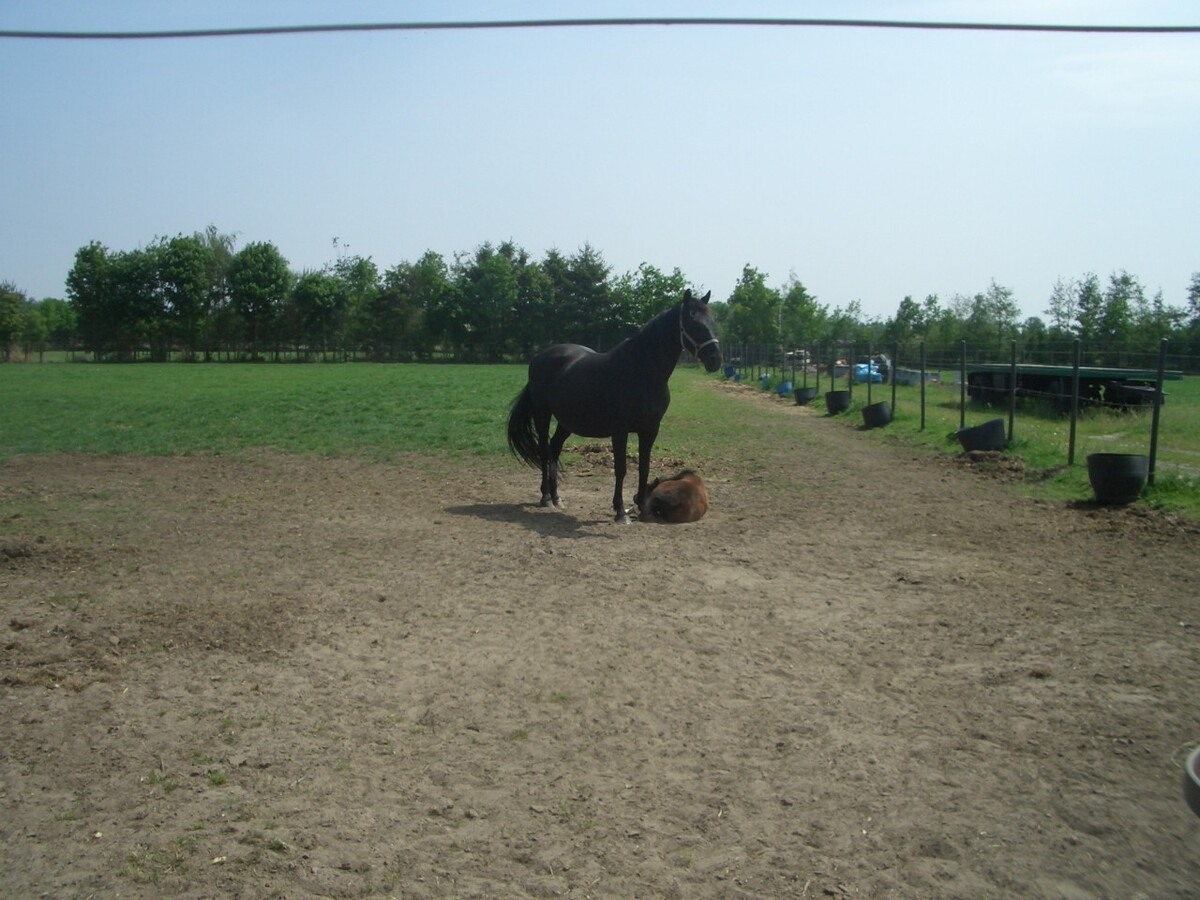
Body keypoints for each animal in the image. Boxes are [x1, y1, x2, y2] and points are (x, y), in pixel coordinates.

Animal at [506, 292, 720, 525]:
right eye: (693, 322)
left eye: (711, 321)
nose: (715, 360)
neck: (641, 371)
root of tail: (539, 358)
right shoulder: (620, 430)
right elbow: (621, 468)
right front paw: (620, 511)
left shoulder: (650, 429)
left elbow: (644, 467)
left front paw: (642, 507)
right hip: (543, 415)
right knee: (544, 451)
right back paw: (546, 497)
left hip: (566, 422)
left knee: (554, 449)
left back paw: (556, 496)